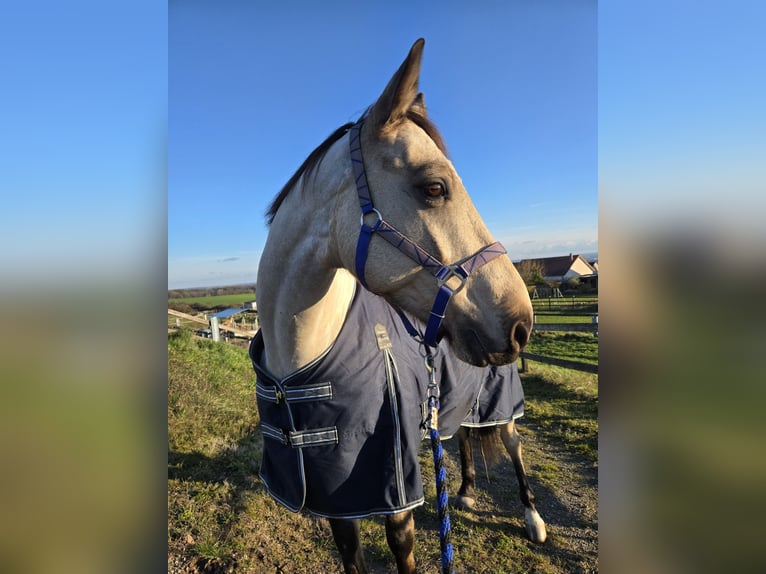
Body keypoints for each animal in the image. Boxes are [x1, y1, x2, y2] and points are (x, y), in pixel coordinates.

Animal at [251, 38, 539, 573]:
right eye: (434, 187)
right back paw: (464, 491)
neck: (299, 366)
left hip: (503, 403)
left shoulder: (394, 493)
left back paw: (533, 518)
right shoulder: (338, 500)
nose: (520, 322)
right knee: (461, 434)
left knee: (512, 445)